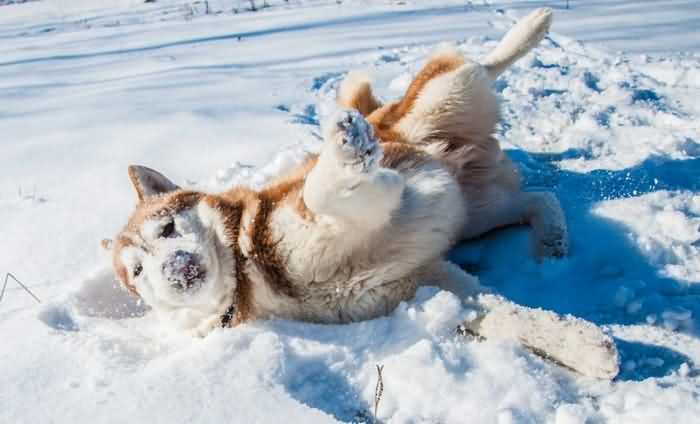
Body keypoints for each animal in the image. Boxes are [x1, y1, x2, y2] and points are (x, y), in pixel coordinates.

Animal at [100, 7, 616, 378]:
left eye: (168, 227)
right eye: (138, 271)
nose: (174, 269)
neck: (247, 273)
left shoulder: (318, 209)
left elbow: (323, 191)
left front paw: (349, 153)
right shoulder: (431, 283)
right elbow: (510, 316)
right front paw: (587, 349)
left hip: (437, 103)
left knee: (472, 65)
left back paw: (530, 28)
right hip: (475, 212)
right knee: (539, 197)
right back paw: (551, 242)